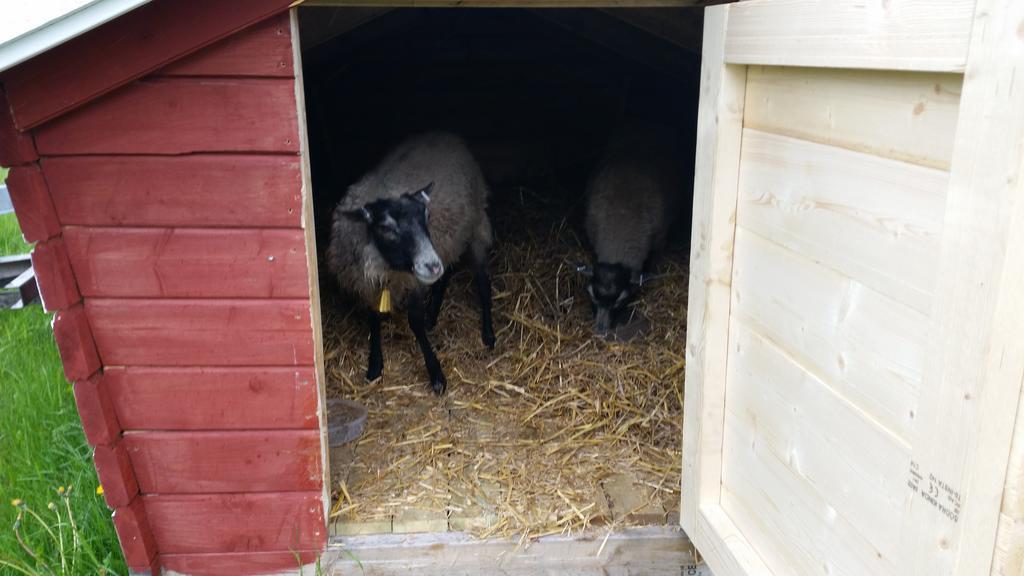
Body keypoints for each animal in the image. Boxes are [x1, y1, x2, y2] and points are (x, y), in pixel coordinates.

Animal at [323, 132, 491, 393]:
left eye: (427, 217)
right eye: (386, 228)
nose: (432, 265)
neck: (387, 267)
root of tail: (445, 133)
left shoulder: (413, 281)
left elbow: (415, 323)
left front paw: (436, 374)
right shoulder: (369, 282)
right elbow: (374, 317)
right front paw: (374, 365)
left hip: (474, 224)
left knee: (482, 280)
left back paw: (488, 334)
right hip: (450, 238)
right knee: (447, 273)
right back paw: (434, 313)